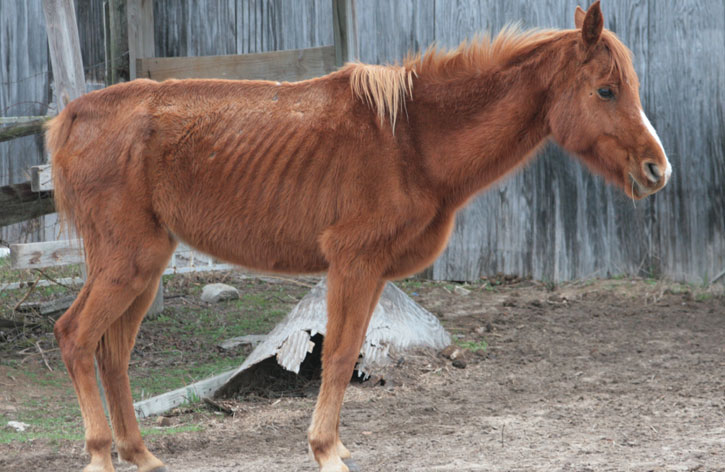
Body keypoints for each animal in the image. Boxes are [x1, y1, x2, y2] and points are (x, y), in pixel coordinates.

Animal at [46, 2, 670, 471]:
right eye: (606, 91)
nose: (656, 171)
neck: (410, 140)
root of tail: (76, 114)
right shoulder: (354, 264)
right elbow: (342, 354)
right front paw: (326, 451)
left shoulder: (370, 274)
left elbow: (348, 354)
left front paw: (335, 446)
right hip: (127, 263)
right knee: (77, 337)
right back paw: (100, 453)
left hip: (143, 269)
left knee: (112, 354)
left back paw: (139, 454)